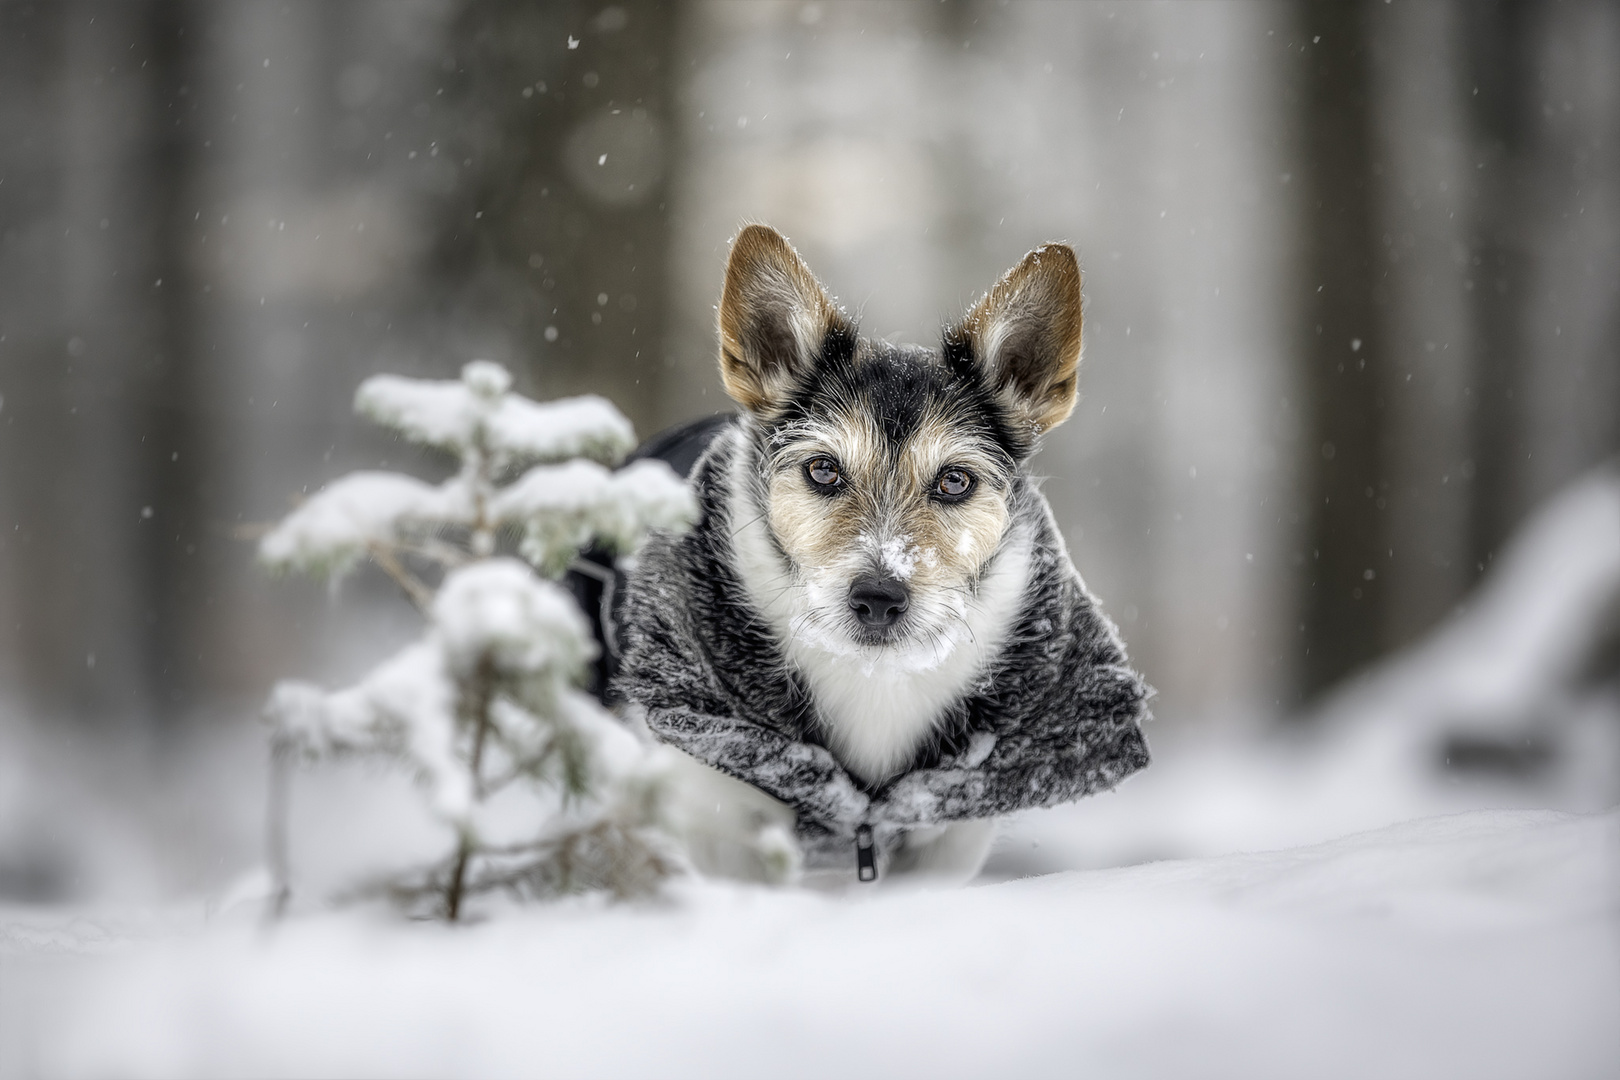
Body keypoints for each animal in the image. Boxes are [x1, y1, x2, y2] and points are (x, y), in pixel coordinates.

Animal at [609, 223, 1153, 880]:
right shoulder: (718, 812)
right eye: (823, 469)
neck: (875, 676)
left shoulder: (949, 834)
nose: (878, 597)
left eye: (955, 481)